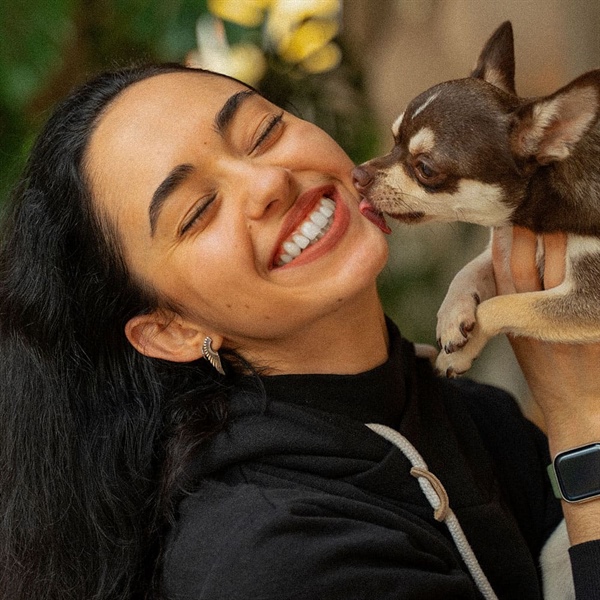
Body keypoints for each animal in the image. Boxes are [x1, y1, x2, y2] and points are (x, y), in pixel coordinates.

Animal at [352, 24, 600, 380]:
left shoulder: (590, 300)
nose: (357, 174)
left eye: (426, 169)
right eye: (393, 139)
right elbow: (469, 269)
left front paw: (460, 352)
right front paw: (452, 314)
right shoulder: (501, 242)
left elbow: (501, 306)